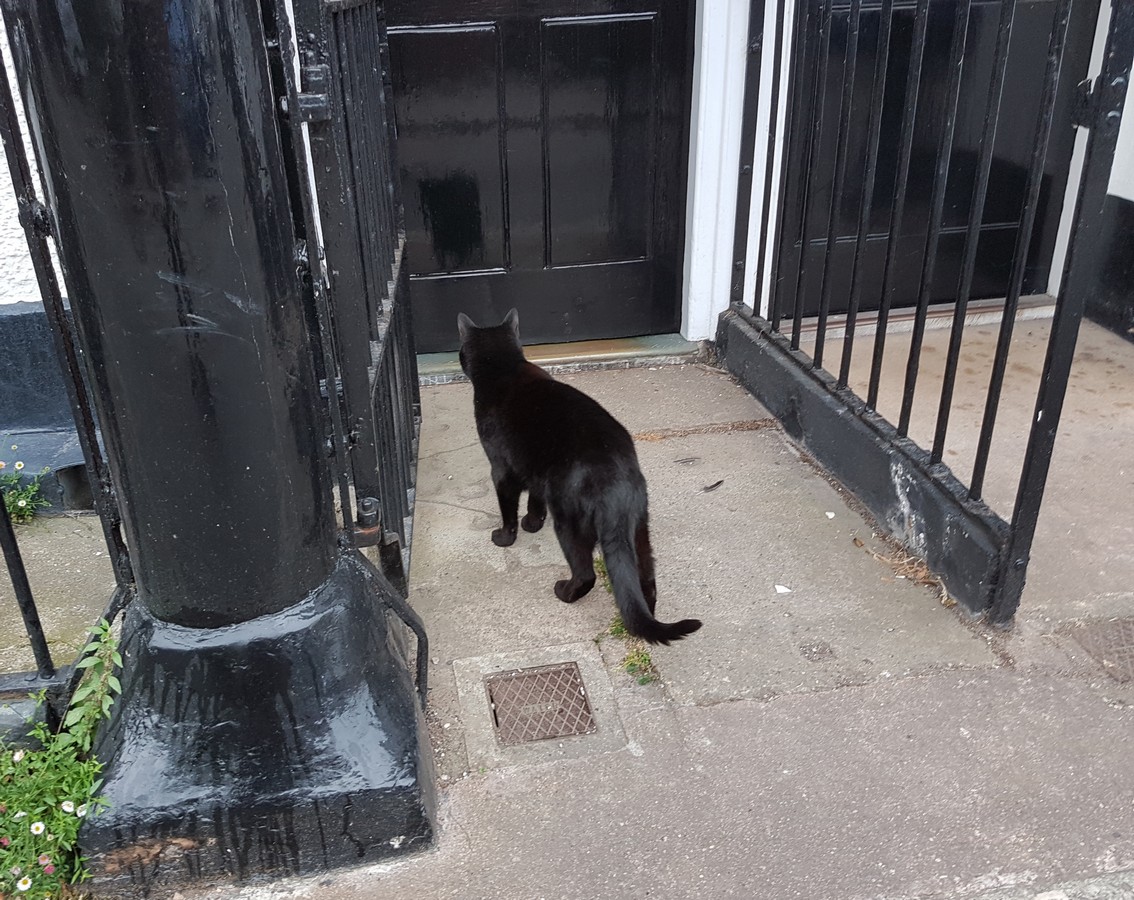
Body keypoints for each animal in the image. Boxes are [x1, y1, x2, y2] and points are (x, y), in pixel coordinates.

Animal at [457, 309, 702, 645]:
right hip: (639, 528)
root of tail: (617, 478)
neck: (505, 368)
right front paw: (533, 523)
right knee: (647, 578)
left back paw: (564, 592)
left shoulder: (502, 471)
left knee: (586, 573)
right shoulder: (536, 471)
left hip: (569, 523)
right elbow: (535, 500)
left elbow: (508, 510)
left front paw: (505, 537)